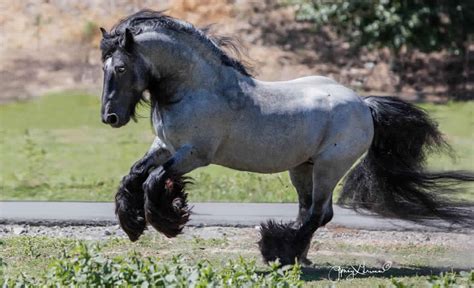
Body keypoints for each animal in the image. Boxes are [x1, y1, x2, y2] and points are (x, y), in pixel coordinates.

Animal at [98, 9, 472, 266]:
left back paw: (278, 250)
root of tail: (363, 105)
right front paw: (133, 224)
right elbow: (133, 175)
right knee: (309, 211)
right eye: (104, 68)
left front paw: (168, 221)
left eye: (120, 68)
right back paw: (298, 256)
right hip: (302, 168)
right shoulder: (164, 147)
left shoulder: (193, 155)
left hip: (328, 168)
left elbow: (152, 182)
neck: (197, 87)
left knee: (319, 214)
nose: (110, 117)